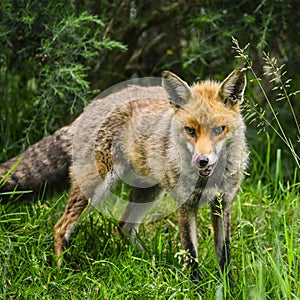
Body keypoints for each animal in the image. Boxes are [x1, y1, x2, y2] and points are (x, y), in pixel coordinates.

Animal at [0, 69, 248, 282]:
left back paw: (149, 262)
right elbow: (191, 254)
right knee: (61, 228)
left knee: (123, 226)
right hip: (95, 187)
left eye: (218, 130)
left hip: (150, 192)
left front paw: (228, 287)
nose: (202, 161)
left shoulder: (223, 204)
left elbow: (224, 255)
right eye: (190, 131)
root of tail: (91, 106)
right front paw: (195, 288)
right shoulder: (186, 205)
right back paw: (62, 273)